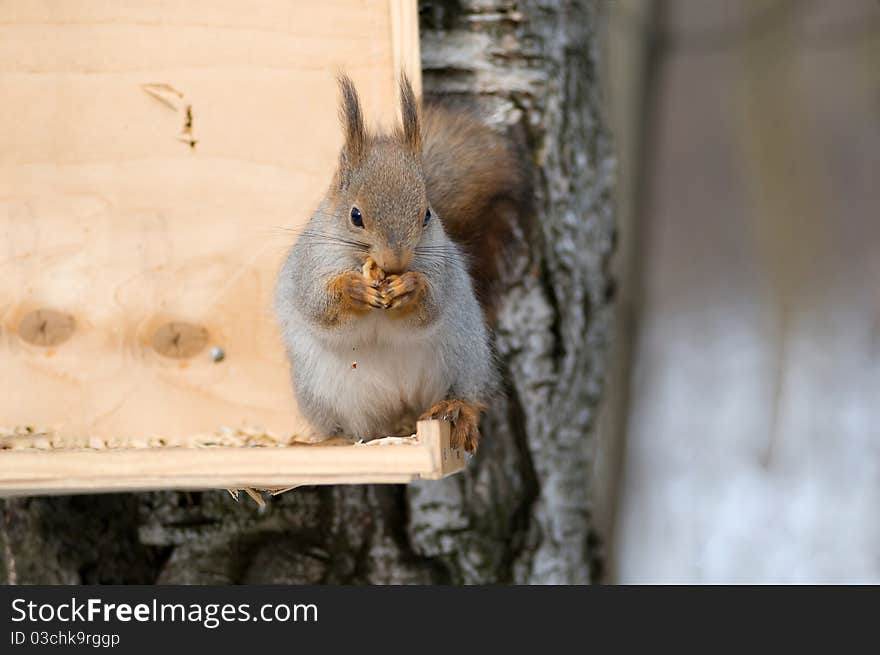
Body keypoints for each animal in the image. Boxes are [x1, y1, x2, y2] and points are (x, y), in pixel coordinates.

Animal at [276, 72, 524, 452]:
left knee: (469, 394)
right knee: (355, 428)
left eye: (426, 215)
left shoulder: (443, 270)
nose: (395, 262)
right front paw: (353, 288)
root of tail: (402, 405)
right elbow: (319, 305)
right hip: (325, 391)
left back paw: (458, 410)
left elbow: (429, 308)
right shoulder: (309, 264)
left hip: (467, 357)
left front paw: (410, 286)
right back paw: (336, 439)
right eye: (356, 215)